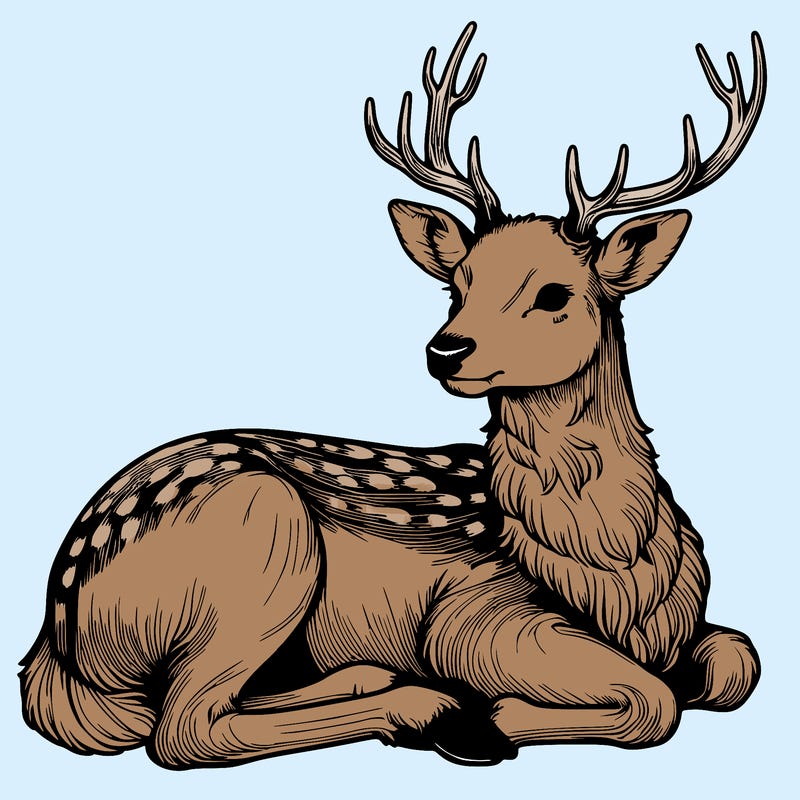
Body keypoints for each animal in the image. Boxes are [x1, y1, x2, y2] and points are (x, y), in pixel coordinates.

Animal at [20, 23, 765, 769]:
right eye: (458, 283)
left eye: (555, 293)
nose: (446, 348)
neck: (615, 574)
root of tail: (53, 640)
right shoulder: (477, 614)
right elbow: (654, 701)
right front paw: (492, 716)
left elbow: (737, 660)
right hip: (265, 541)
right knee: (182, 727)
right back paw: (432, 711)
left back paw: (377, 679)